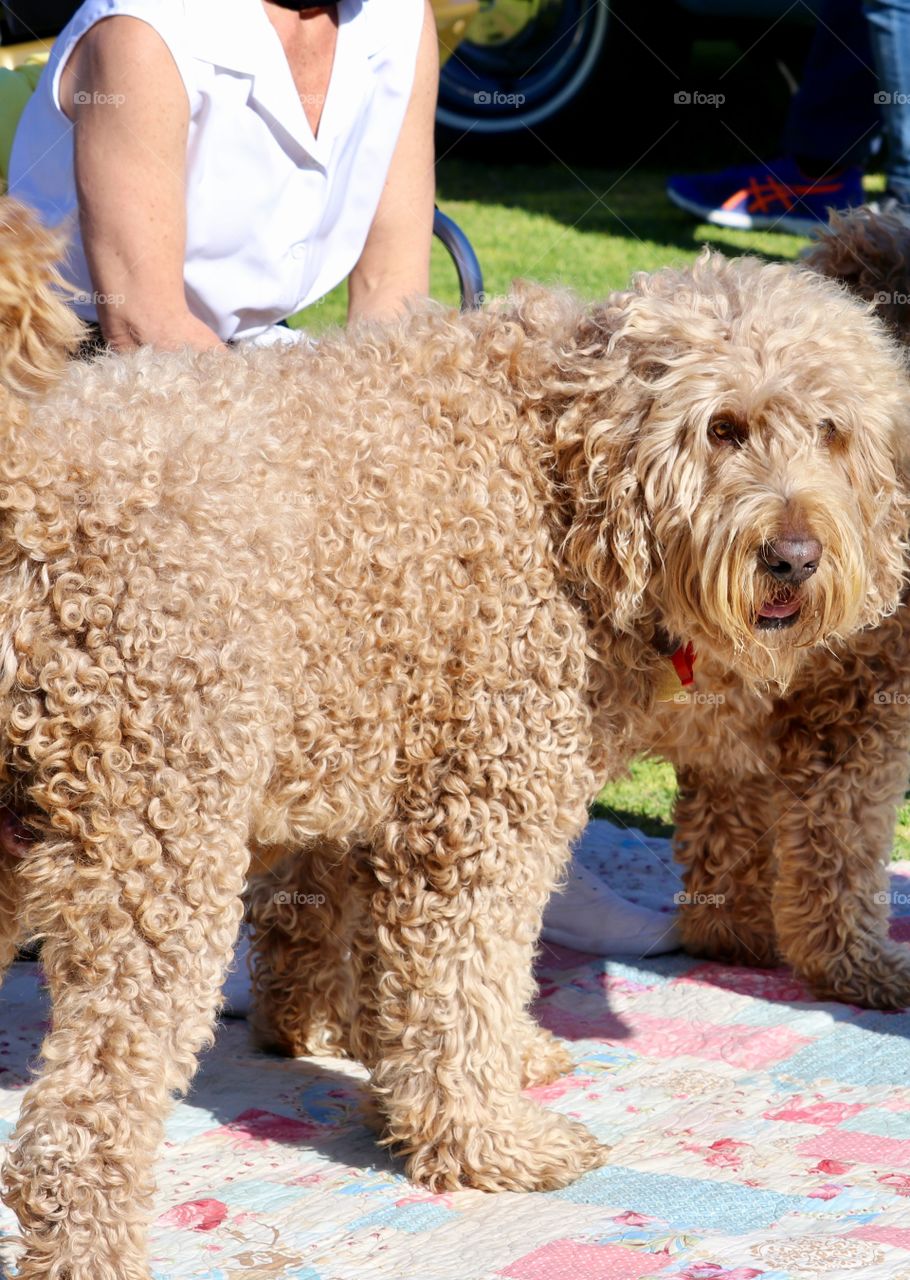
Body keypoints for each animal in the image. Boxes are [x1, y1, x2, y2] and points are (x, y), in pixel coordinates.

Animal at [5, 192, 910, 1280]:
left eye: (831, 431)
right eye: (722, 428)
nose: (795, 556)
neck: (564, 469)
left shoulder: (378, 768)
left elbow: (376, 956)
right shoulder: (480, 813)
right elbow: (459, 981)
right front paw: (488, 1137)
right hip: (153, 847)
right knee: (78, 1118)